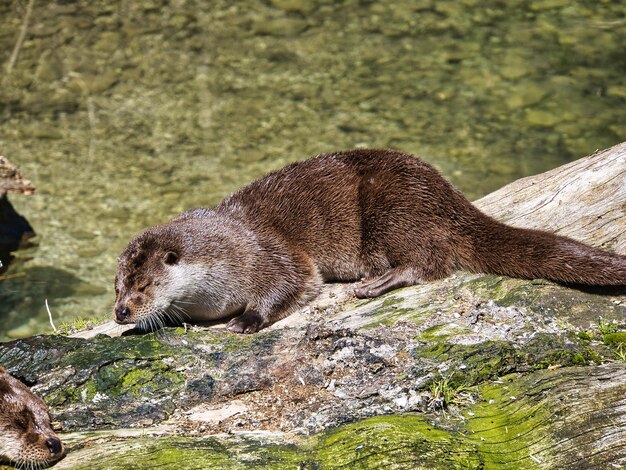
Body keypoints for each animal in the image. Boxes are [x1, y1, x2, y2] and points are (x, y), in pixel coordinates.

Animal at [113, 149, 624, 332]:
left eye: (143, 287)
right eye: (116, 289)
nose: (120, 313)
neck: (227, 251)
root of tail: (448, 195)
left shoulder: (271, 254)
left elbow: (292, 282)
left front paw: (246, 320)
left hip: (393, 210)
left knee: (431, 261)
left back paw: (377, 282)